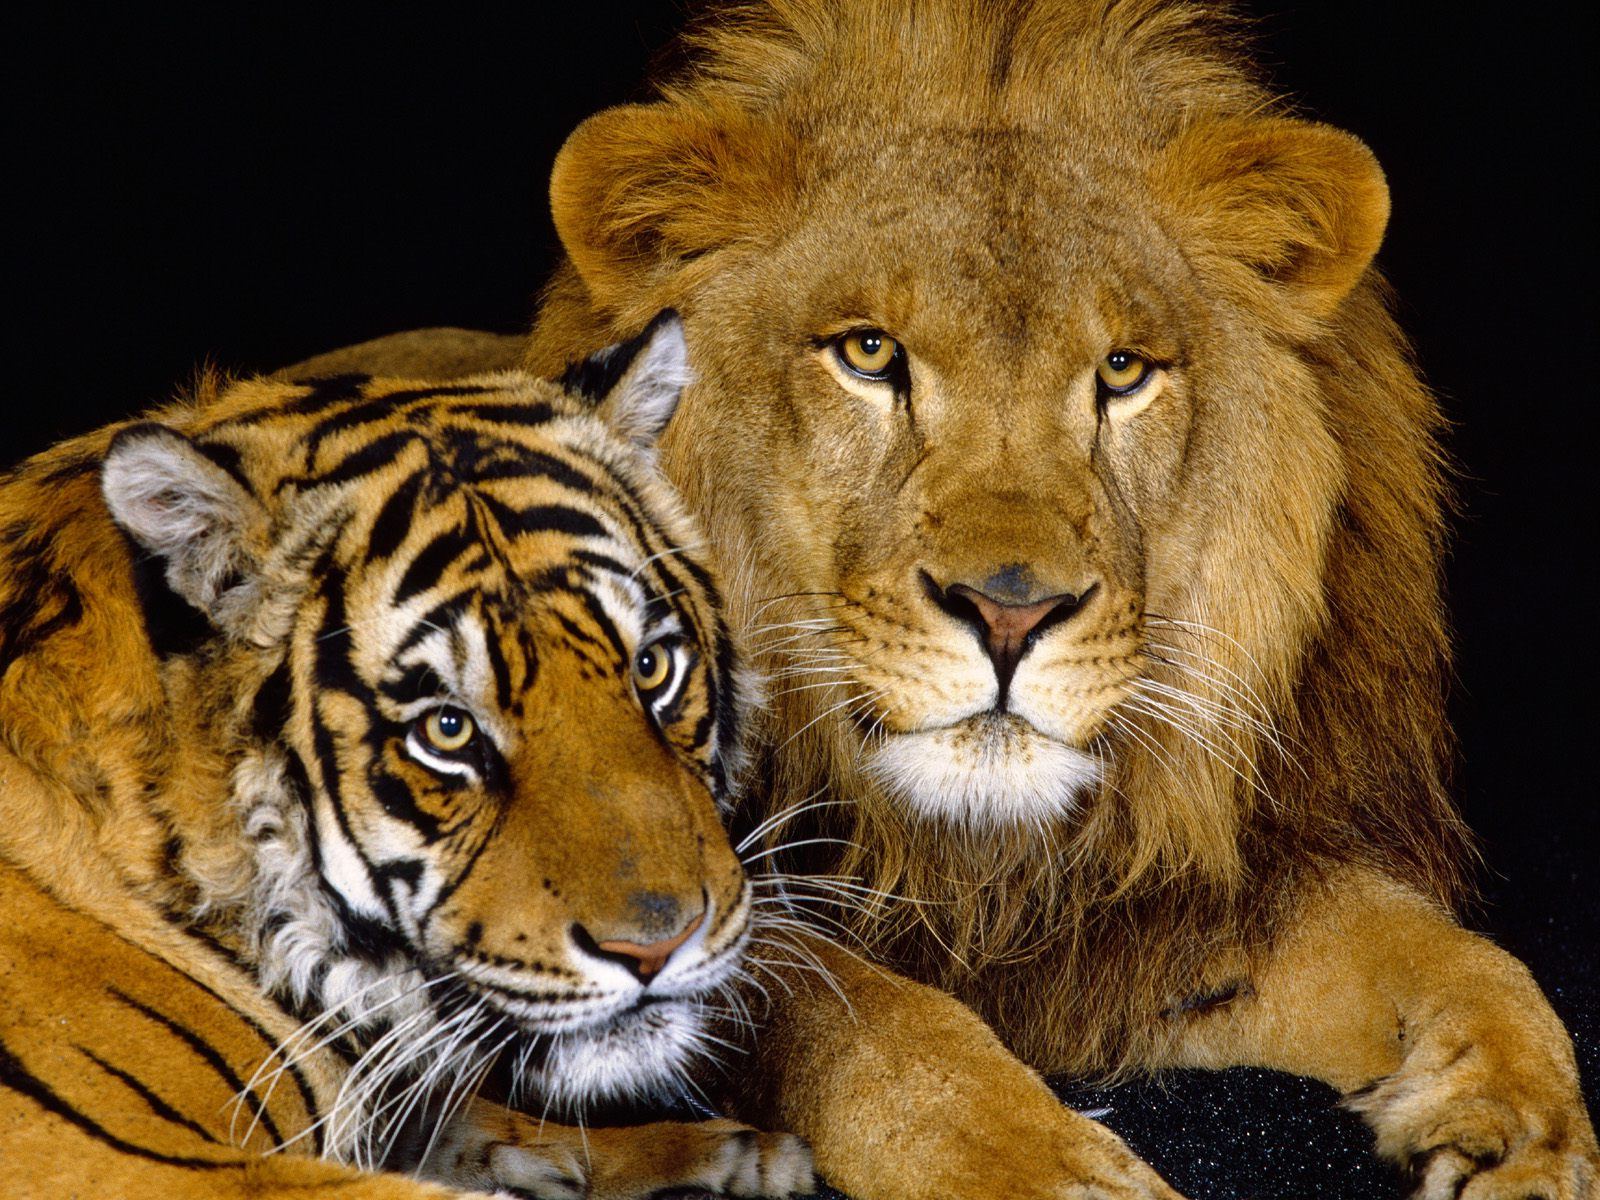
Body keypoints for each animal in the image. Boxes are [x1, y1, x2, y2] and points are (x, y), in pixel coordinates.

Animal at [293, 1, 1597, 1197]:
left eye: (1121, 370)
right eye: (868, 353)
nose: (1010, 612)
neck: (972, 858)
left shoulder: (1160, 912)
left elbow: (1456, 959)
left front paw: (1521, 1132)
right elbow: (866, 1018)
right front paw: (1038, 1164)